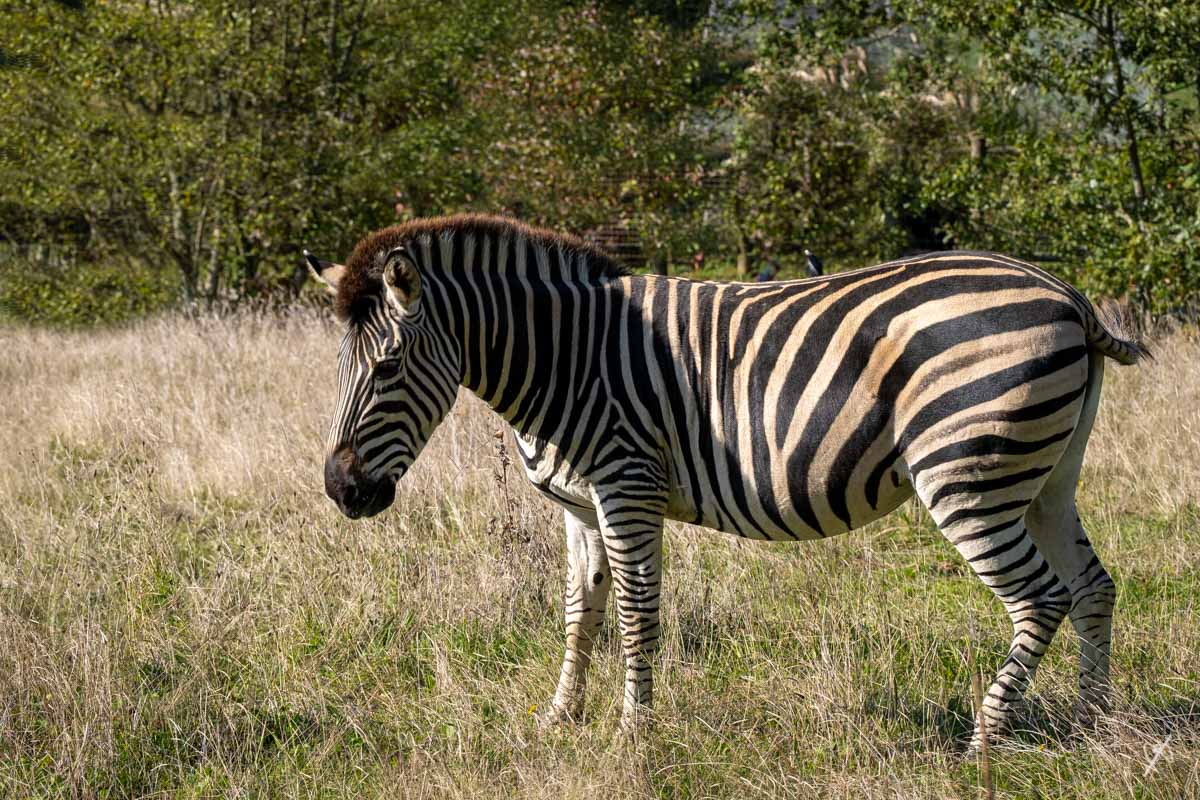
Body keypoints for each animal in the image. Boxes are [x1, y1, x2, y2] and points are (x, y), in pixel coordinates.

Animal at [308, 213, 1147, 749]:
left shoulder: (628, 487)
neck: (565, 357)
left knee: (1041, 597)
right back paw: (1094, 726)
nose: (342, 491)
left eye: (388, 367)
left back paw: (983, 740)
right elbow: (580, 611)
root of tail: (1065, 295)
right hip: (1046, 478)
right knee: (1094, 587)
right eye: (341, 366)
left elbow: (637, 613)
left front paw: (633, 734)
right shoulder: (578, 506)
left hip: (967, 474)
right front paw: (558, 719)